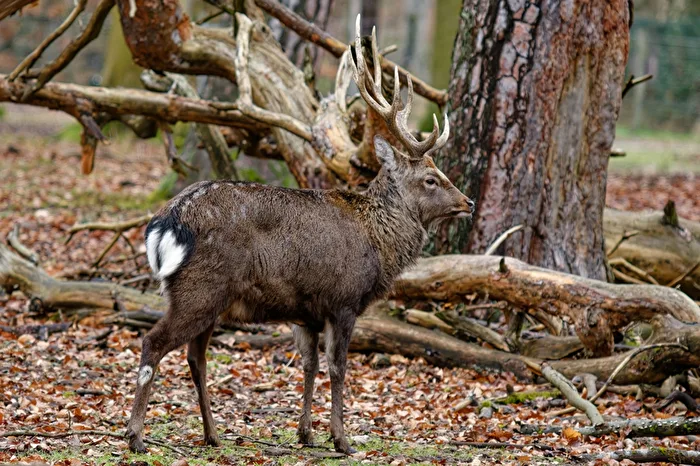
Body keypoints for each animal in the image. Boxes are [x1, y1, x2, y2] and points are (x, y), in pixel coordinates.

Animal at [126, 16, 474, 455]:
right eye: (431, 178)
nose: (468, 202)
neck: (380, 244)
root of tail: (165, 223)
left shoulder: (305, 311)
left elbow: (309, 365)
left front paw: (306, 433)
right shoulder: (343, 300)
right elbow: (338, 367)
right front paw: (342, 439)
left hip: (205, 297)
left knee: (195, 356)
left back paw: (212, 434)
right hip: (199, 288)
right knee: (154, 342)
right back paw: (136, 436)